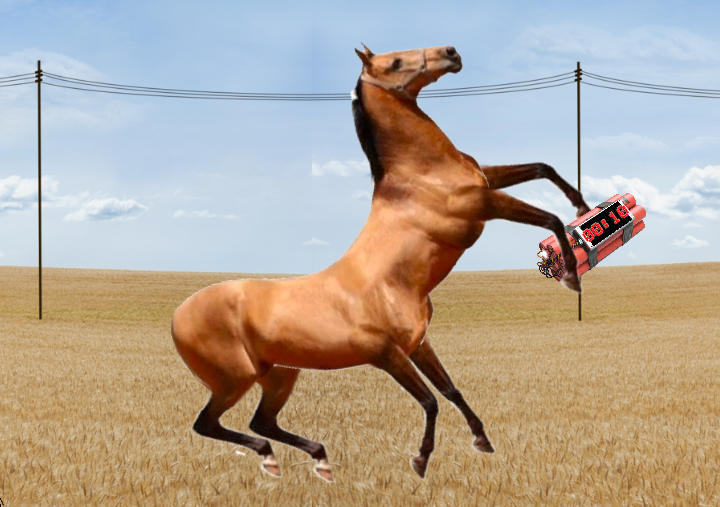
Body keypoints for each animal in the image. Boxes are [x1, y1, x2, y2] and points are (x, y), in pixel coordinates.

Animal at [171, 44, 590, 482]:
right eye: (395, 63)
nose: (451, 53)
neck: (420, 177)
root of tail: (178, 315)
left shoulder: (418, 343)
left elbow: (450, 390)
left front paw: (481, 440)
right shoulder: (390, 352)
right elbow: (431, 402)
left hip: (281, 375)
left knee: (261, 421)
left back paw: (315, 459)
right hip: (235, 381)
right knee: (207, 423)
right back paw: (276, 458)